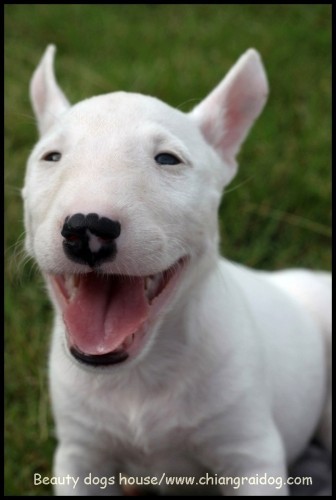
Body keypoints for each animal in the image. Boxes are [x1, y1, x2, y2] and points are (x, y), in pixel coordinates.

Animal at [23, 47, 330, 496]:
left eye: (167, 159)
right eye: (52, 157)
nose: (87, 228)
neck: (142, 374)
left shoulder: (250, 453)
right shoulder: (80, 454)